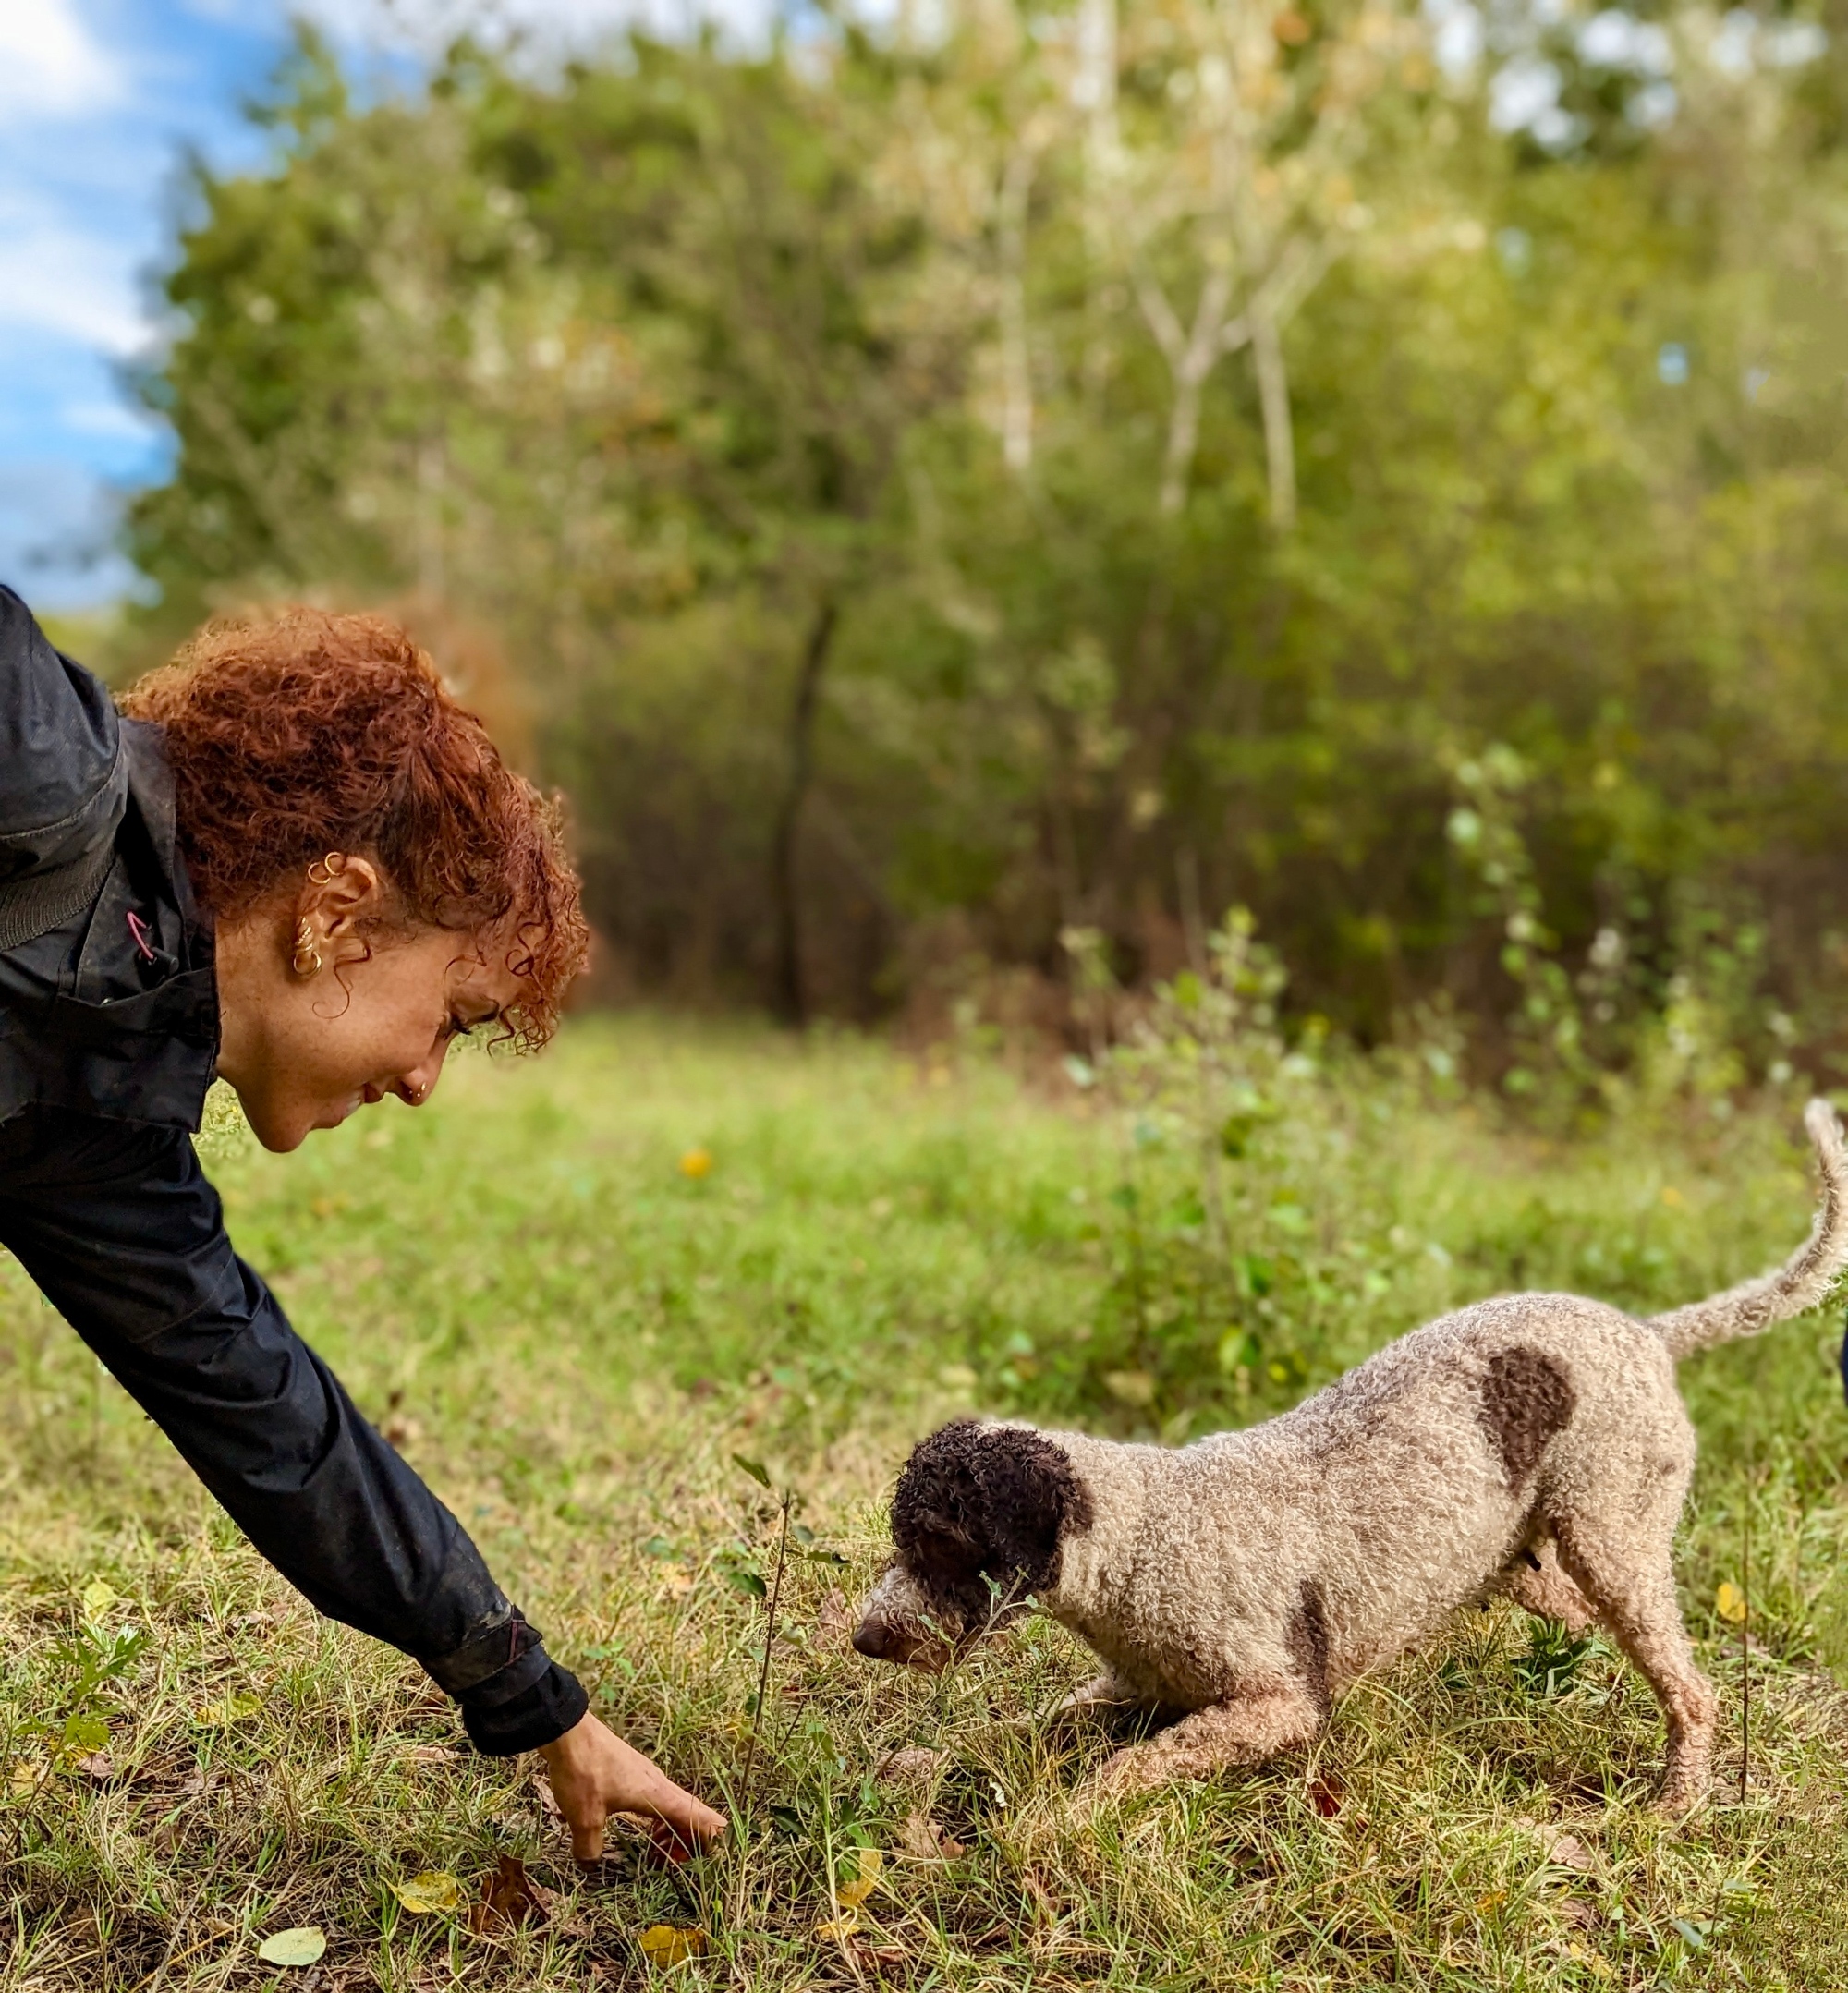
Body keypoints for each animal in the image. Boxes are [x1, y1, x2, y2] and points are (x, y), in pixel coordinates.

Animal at [853, 1100, 1848, 1817]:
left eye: (941, 1544)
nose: (865, 1638)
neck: (1141, 1535)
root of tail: (1645, 1332)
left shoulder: (1274, 1705)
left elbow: (1133, 1768)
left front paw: (1052, 1824)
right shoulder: (1127, 1688)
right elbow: (1025, 1728)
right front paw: (925, 1764)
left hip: (1614, 1534)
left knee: (1691, 1687)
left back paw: (1675, 1802)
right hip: (1515, 1559)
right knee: (1588, 1623)